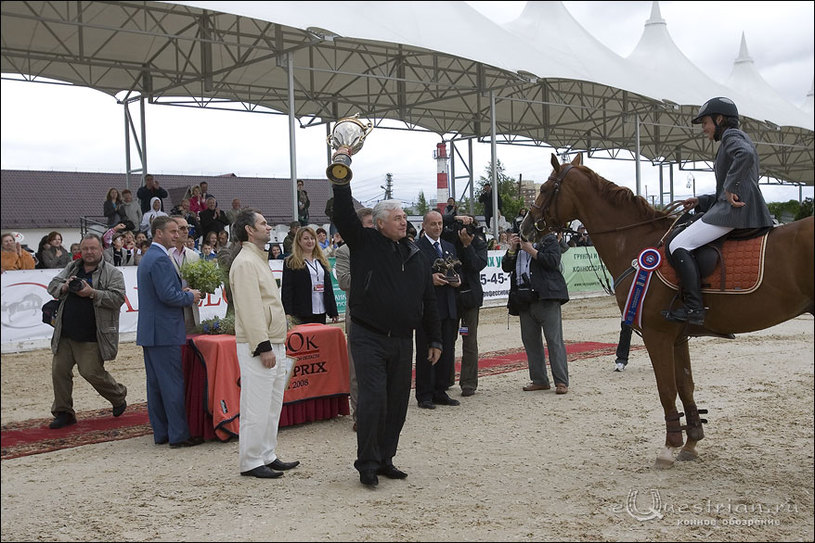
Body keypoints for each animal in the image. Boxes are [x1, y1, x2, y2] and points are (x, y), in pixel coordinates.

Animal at [520, 153, 812, 468]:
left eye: (545, 188)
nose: (524, 228)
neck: (637, 242)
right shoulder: (678, 337)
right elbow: (685, 385)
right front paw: (691, 442)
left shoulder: (656, 334)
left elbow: (667, 389)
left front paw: (669, 447)